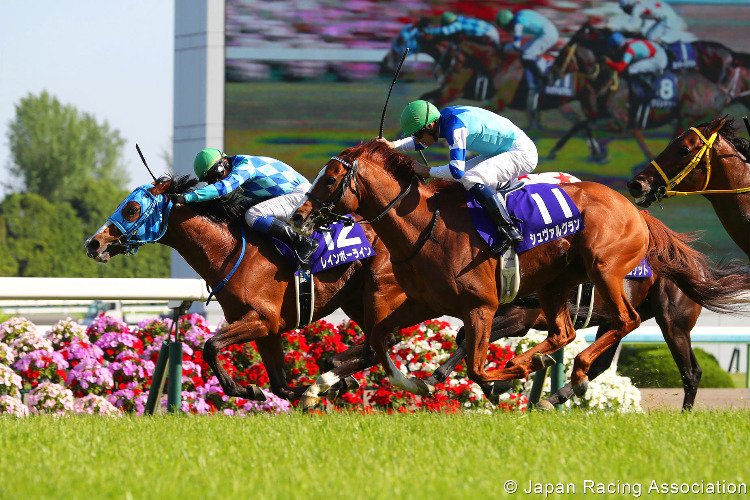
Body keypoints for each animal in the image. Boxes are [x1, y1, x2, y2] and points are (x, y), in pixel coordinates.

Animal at [292, 139, 750, 396]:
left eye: (329, 180)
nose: (299, 216)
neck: (426, 226)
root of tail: (638, 212)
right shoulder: (424, 303)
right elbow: (380, 338)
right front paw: (414, 381)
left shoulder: (486, 308)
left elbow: (474, 362)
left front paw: (500, 379)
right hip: (558, 285)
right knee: (571, 334)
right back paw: (557, 377)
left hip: (624, 285)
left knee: (653, 341)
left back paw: (556, 373)